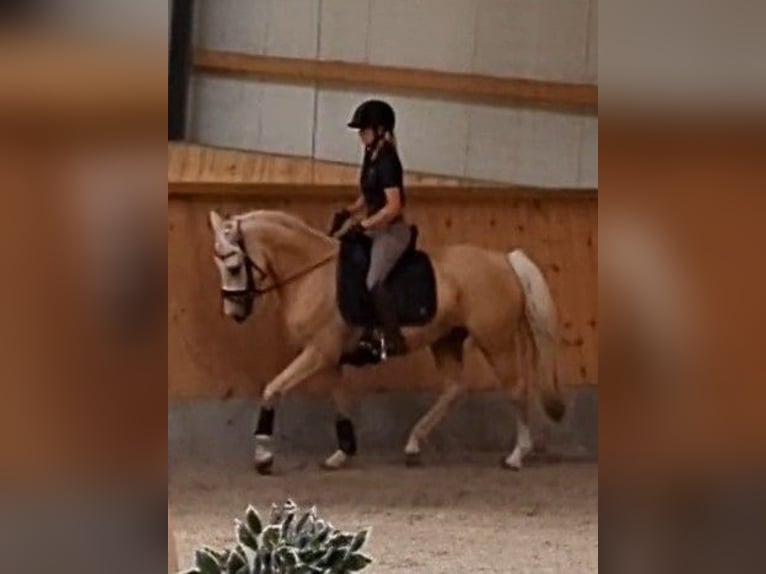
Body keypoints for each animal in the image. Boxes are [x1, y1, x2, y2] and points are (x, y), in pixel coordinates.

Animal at [210, 210, 564, 472]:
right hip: (446, 339)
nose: (233, 311)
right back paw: (413, 445)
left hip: (496, 341)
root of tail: (505, 259)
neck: (312, 275)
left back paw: (516, 456)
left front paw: (263, 456)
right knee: (455, 388)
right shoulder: (329, 358)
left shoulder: (319, 352)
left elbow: (273, 388)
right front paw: (342, 453)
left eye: (234, 265)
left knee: (516, 388)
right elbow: (341, 402)